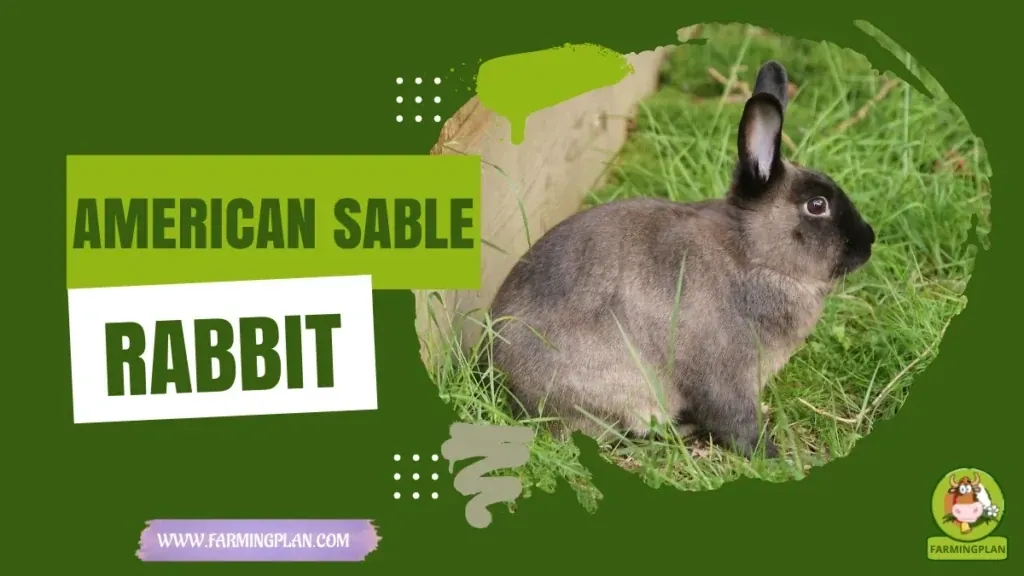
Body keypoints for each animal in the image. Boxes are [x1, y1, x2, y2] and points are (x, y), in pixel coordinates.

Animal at [486, 61, 875, 458]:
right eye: (817, 205)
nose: (869, 242)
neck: (753, 257)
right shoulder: (725, 377)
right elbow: (737, 421)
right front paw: (773, 455)